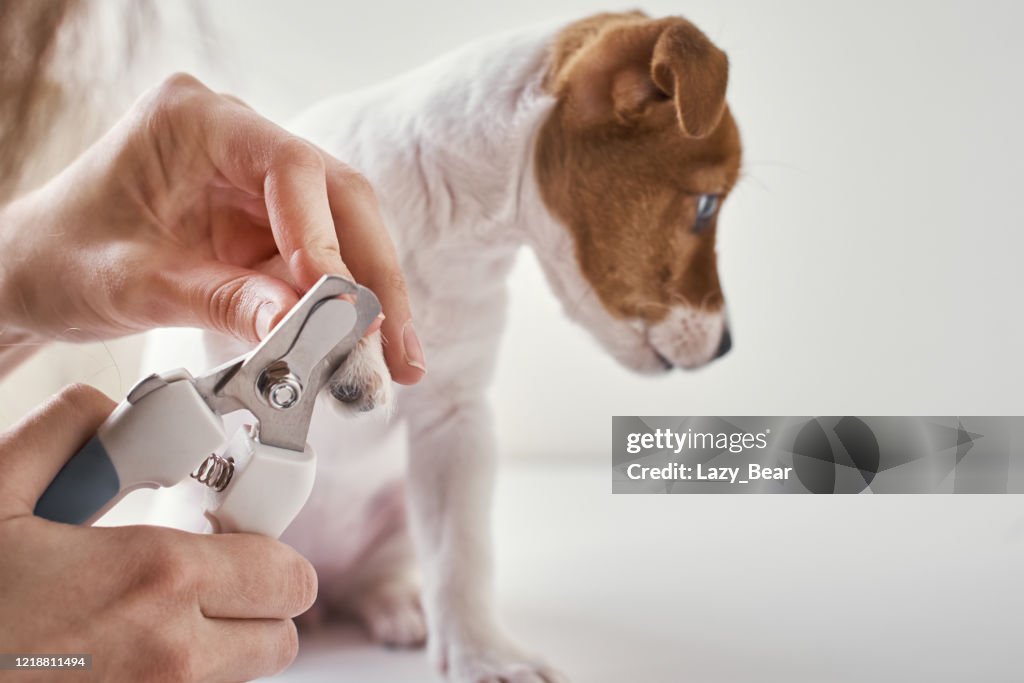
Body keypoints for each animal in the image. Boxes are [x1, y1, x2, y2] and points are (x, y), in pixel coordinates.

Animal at [146, 7, 745, 679]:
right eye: (705, 206)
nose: (728, 346)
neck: (448, 228)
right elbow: (291, 275)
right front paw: (354, 347)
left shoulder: (456, 423)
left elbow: (461, 555)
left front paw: (483, 654)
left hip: (398, 520)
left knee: (381, 576)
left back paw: (395, 605)